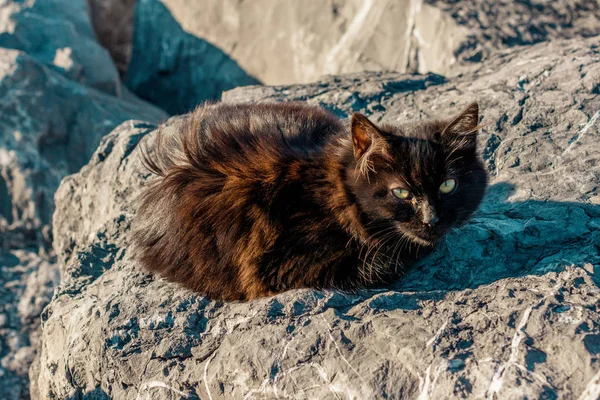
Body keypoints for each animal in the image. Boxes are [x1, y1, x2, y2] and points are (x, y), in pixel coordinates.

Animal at [132, 101, 488, 302]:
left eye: (448, 186)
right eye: (400, 192)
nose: (432, 219)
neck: (331, 187)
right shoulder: (280, 267)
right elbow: (386, 259)